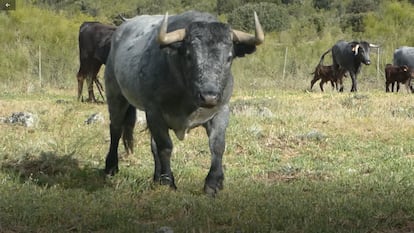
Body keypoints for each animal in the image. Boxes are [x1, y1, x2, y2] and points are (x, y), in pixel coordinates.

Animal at [104, 10, 266, 195]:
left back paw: (156, 177)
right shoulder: (154, 112)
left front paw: (213, 182)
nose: (209, 96)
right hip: (115, 95)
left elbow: (217, 145)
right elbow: (165, 147)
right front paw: (168, 181)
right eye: (189, 55)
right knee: (115, 129)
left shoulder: (221, 110)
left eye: (229, 57)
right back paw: (111, 167)